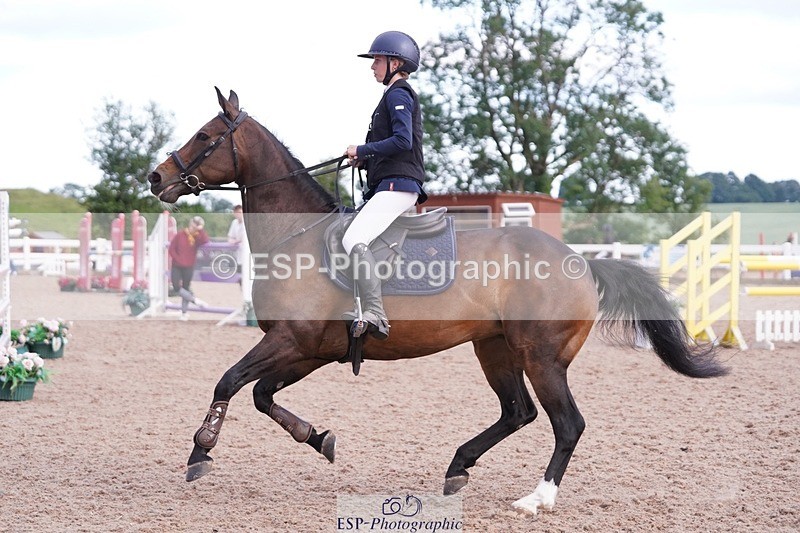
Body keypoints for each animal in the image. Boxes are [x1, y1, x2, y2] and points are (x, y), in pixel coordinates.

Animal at [147, 87, 727, 515]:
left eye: (204, 135)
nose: (156, 177)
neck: (298, 235)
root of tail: (582, 263)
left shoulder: (291, 340)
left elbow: (228, 382)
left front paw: (201, 451)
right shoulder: (308, 349)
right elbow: (262, 395)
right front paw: (319, 438)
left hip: (540, 357)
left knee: (567, 424)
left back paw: (535, 499)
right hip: (495, 349)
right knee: (517, 412)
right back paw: (456, 468)